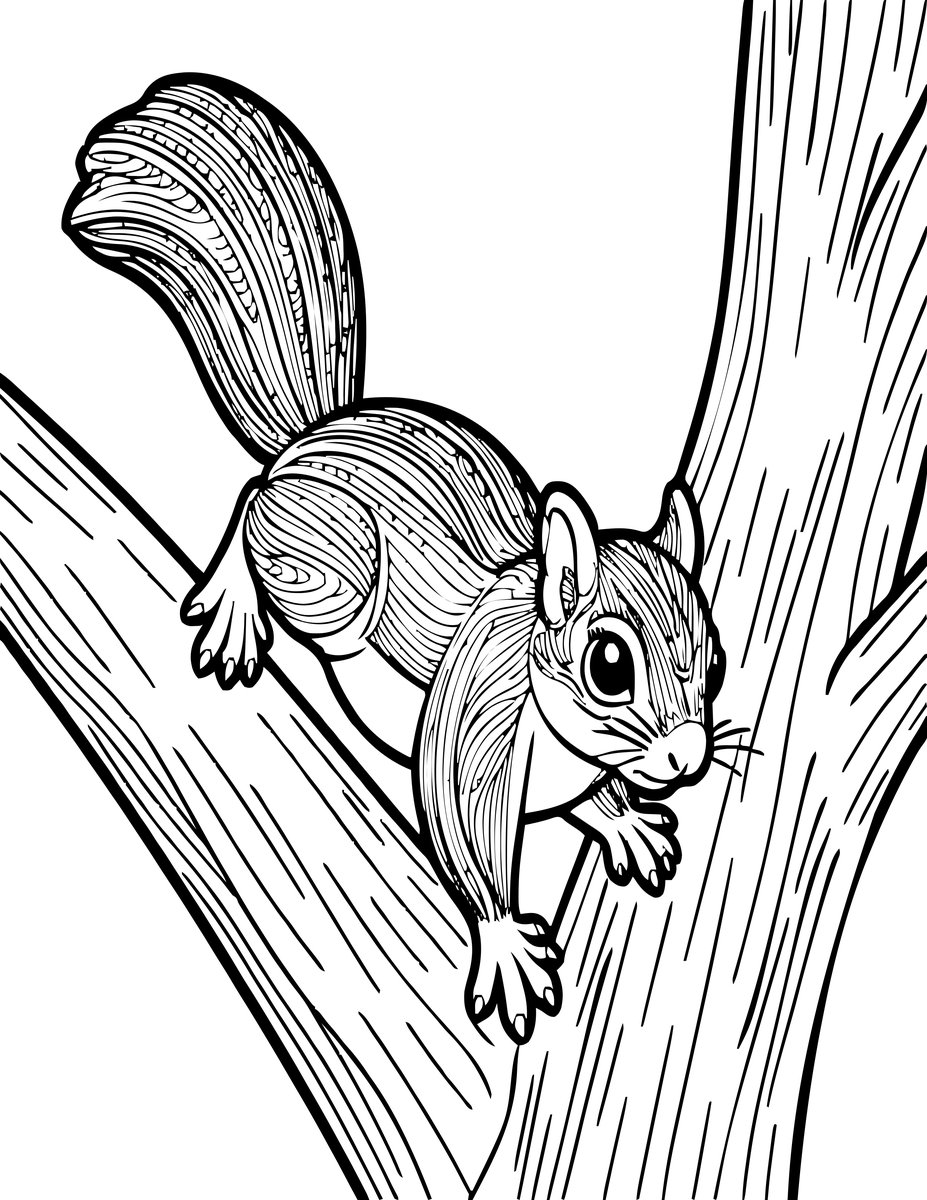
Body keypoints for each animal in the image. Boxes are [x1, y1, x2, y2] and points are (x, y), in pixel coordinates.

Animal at [66, 75, 724, 1044]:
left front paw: (627, 826)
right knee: (252, 503)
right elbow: (463, 835)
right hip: (323, 568)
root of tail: (318, 435)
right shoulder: (477, 719)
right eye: (609, 664)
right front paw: (506, 947)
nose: (683, 759)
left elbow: (593, 802)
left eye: (714, 662)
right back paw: (232, 604)